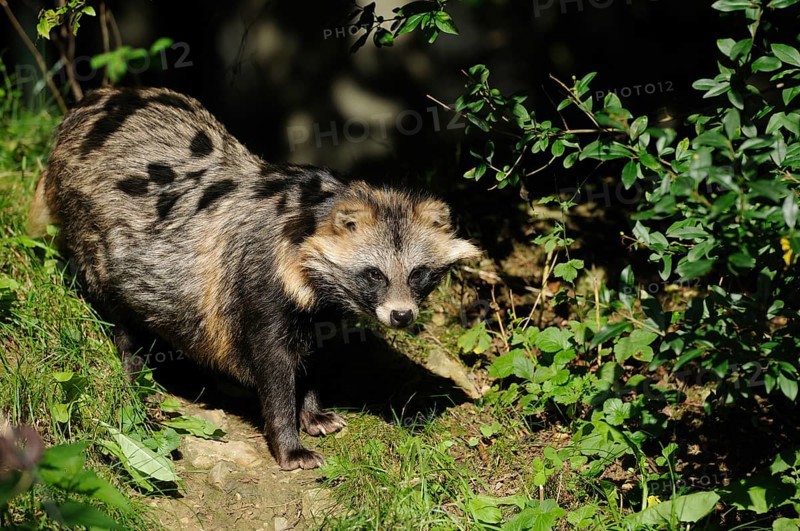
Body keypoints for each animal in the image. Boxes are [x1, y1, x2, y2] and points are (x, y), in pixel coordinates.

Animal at [29, 87, 480, 469]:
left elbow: (314, 357)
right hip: (90, 225)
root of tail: (91, 103)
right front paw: (288, 440)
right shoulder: (258, 287)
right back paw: (134, 364)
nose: (402, 316)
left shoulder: (319, 311)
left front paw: (312, 410)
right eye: (374, 274)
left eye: (419, 274)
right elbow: (273, 368)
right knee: (118, 306)